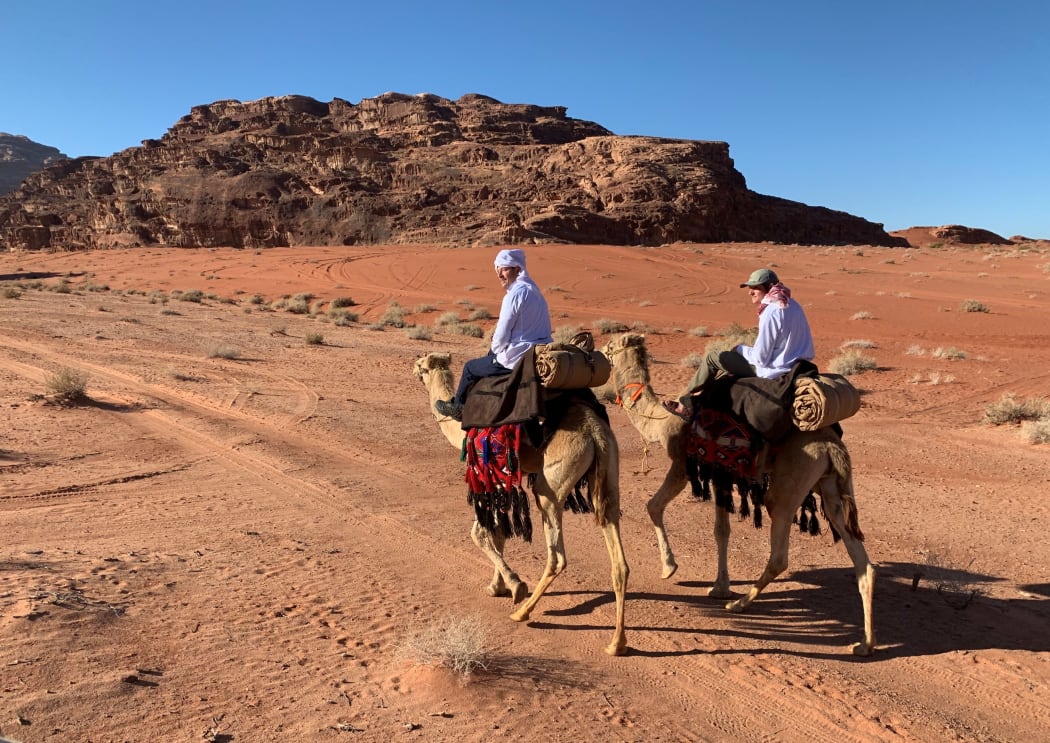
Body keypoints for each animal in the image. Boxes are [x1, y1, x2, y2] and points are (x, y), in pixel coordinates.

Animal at [413, 352, 630, 656]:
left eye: (421, 366)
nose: (413, 367)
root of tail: (595, 434)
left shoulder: (492, 471)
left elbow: (481, 533)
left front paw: (514, 585)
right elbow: (499, 532)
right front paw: (496, 587)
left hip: (549, 488)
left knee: (557, 556)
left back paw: (523, 612)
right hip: (609, 479)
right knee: (619, 562)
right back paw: (616, 643)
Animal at [597, 333, 875, 656]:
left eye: (612, 346)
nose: (599, 350)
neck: (660, 421)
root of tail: (831, 446)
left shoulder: (683, 465)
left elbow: (653, 506)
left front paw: (670, 568)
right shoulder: (720, 470)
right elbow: (722, 530)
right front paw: (720, 586)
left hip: (789, 486)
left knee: (779, 554)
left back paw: (740, 604)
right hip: (833, 488)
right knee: (861, 561)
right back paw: (865, 644)